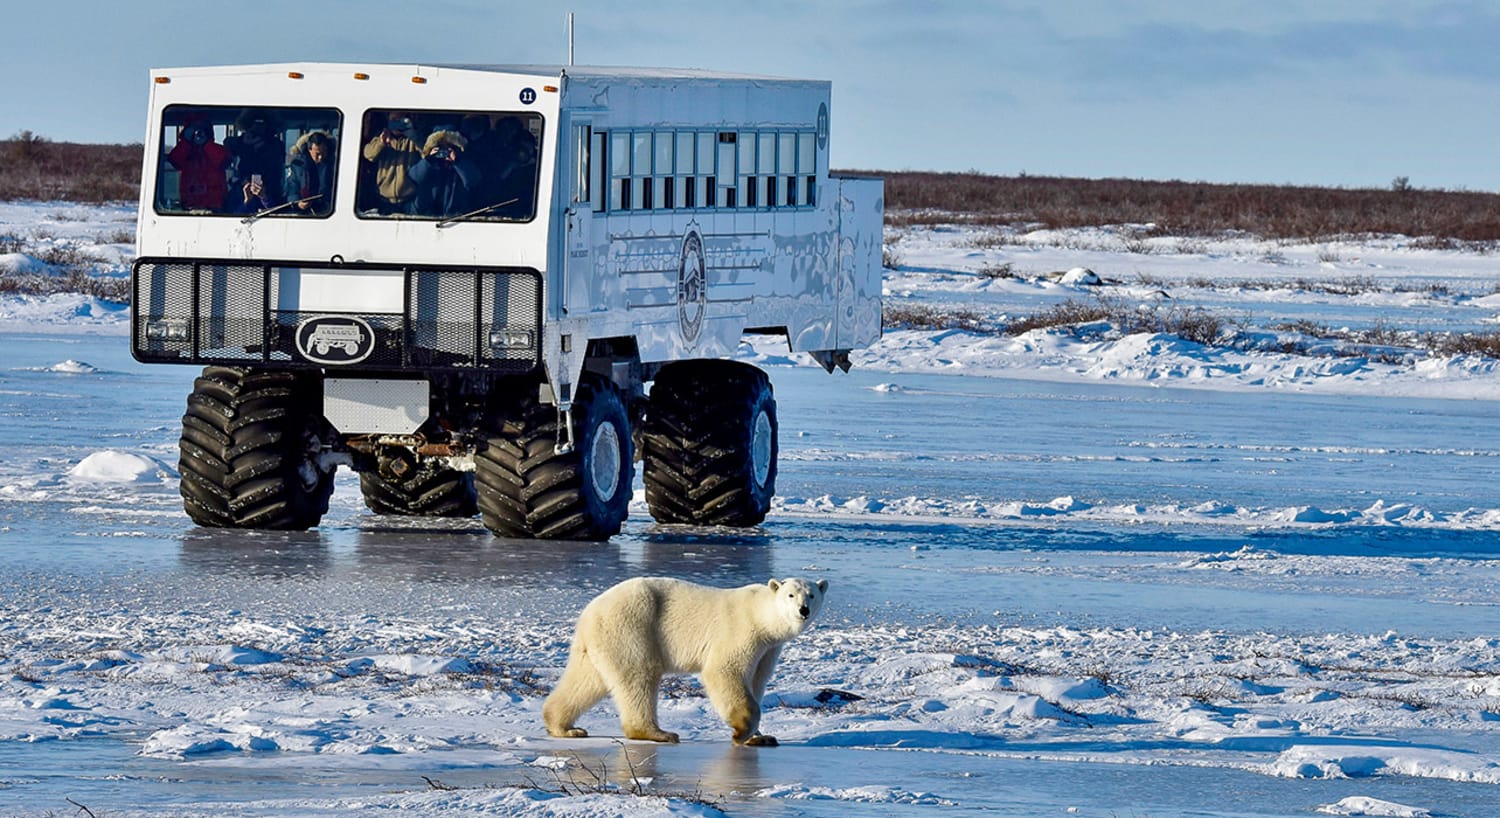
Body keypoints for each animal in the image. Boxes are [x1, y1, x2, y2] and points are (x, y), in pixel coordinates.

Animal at [546, 576, 834, 744]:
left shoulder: (768, 649)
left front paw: (762, 737)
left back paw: (564, 727)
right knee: (639, 675)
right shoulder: (741, 632)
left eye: (811, 595)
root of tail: (589, 611)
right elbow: (724, 671)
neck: (761, 617)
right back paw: (658, 733)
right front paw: (741, 732)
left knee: (586, 680)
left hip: (600, 641)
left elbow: (756, 681)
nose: (803, 610)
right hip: (632, 626)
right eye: (790, 595)